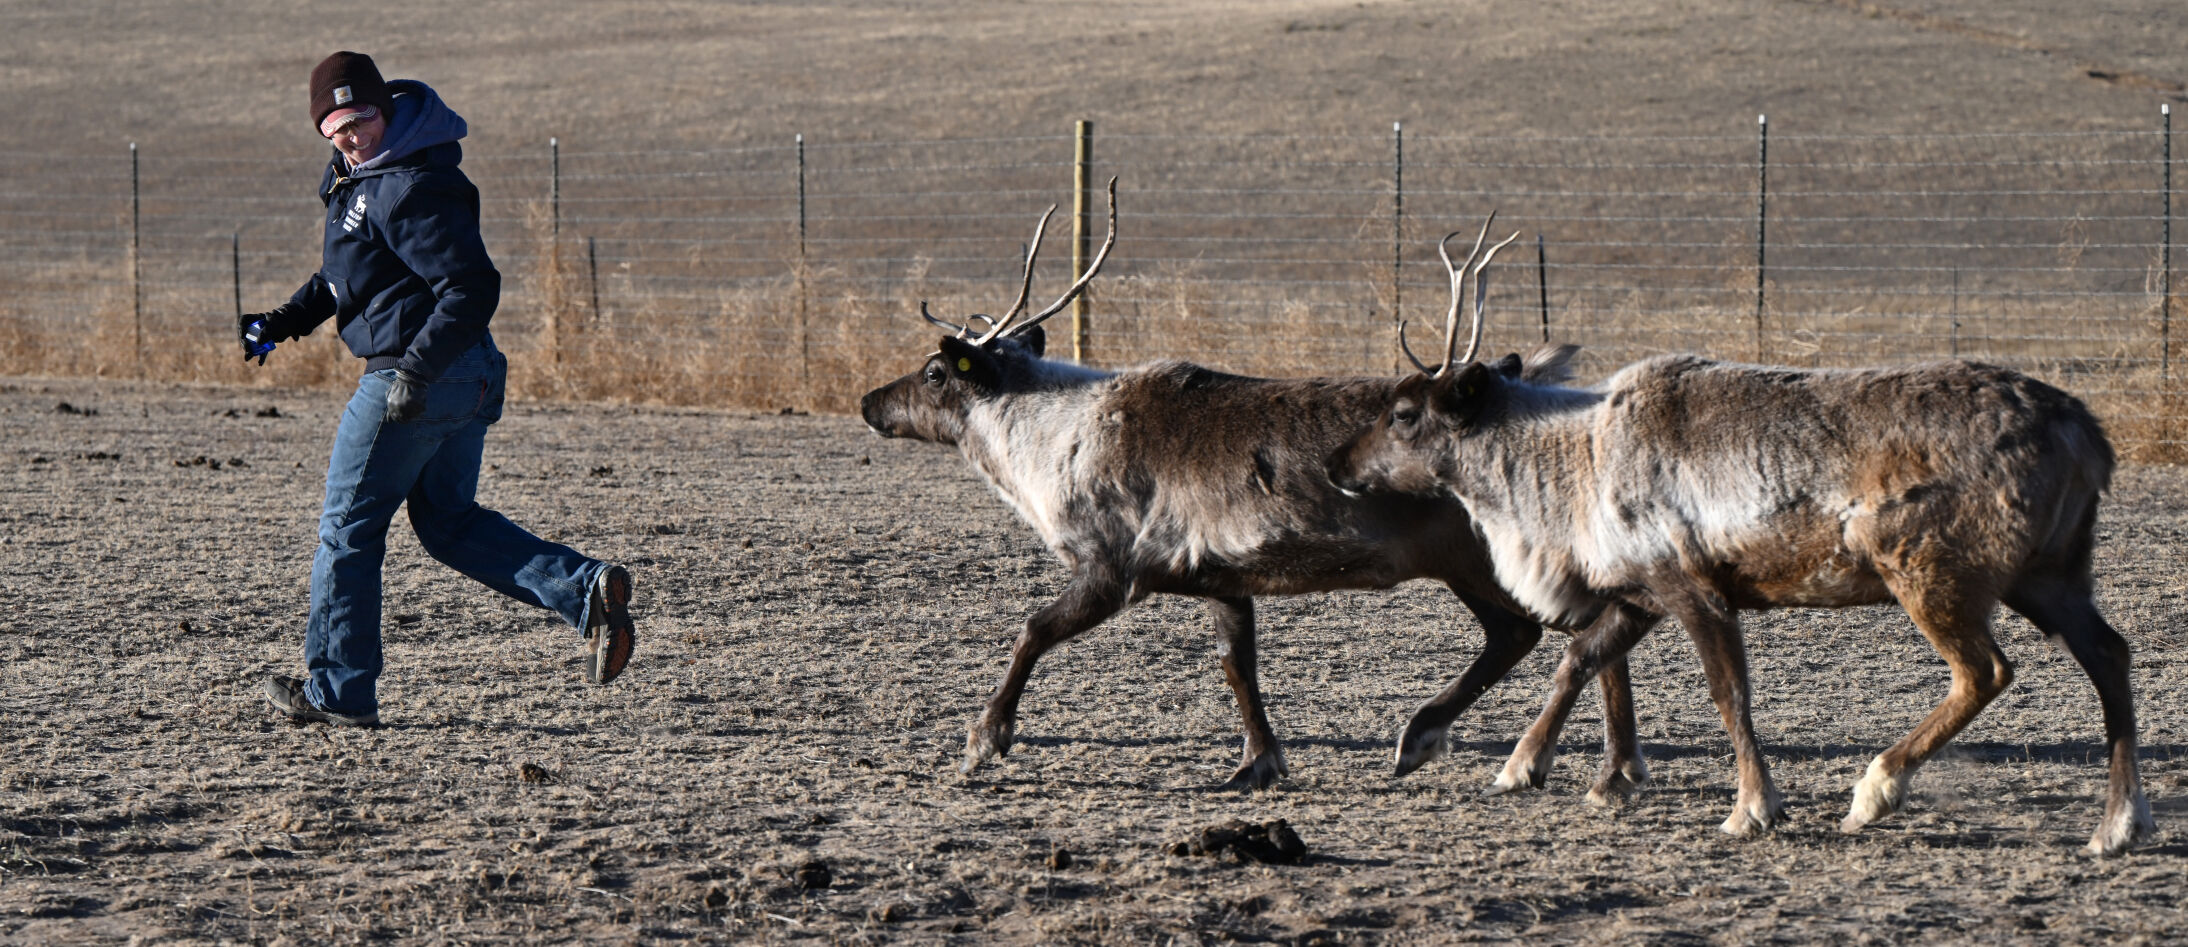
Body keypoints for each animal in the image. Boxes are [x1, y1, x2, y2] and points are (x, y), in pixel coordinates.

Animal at [861, 181, 1659, 797]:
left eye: (934, 372)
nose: (870, 401)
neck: (1047, 443)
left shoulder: (1113, 568)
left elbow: (1030, 630)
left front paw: (984, 738)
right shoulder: (1218, 575)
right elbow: (1237, 666)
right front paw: (1259, 761)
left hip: (1482, 556)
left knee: (1547, 629)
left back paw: (1447, 740)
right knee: (1579, 627)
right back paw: (1612, 766)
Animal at [1327, 217, 2155, 855]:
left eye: (1404, 413)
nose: (1337, 463)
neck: (1572, 467)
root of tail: (2090, 435)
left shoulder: (1692, 584)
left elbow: (1728, 693)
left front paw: (1753, 807)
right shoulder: (1640, 590)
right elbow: (1579, 657)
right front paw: (1525, 765)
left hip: (1929, 568)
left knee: (1984, 670)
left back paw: (1874, 789)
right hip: (2050, 570)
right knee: (2109, 653)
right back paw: (2118, 824)